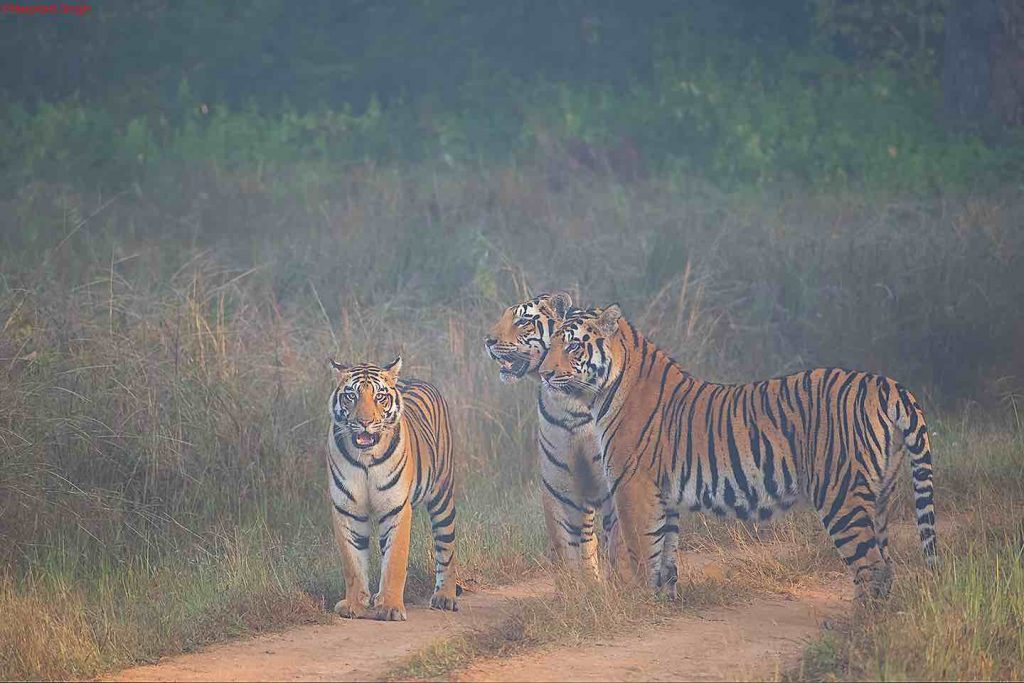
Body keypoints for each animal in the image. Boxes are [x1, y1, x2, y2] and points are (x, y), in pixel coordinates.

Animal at [327, 358, 460, 618]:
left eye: (380, 397)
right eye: (351, 396)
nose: (365, 422)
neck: (366, 458)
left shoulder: (396, 509)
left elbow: (395, 561)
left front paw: (390, 608)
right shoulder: (347, 510)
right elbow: (352, 562)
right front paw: (355, 604)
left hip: (442, 496)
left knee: (446, 548)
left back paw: (445, 597)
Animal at [483, 290, 618, 581]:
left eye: (523, 321)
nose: (487, 341)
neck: (571, 401)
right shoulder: (559, 483)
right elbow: (567, 544)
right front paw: (576, 589)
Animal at [540, 307, 937, 602]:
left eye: (573, 347)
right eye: (550, 345)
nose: (543, 374)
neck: (604, 390)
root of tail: (885, 384)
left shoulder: (633, 487)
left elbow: (639, 551)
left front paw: (636, 604)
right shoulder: (664, 497)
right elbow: (665, 554)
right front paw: (663, 603)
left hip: (841, 495)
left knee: (872, 567)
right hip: (879, 495)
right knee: (885, 564)